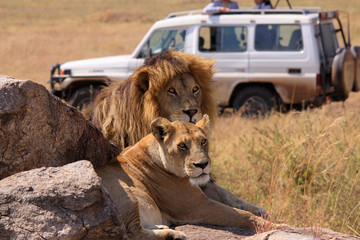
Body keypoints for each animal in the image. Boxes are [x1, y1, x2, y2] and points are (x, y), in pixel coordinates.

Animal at [95, 115, 270, 239]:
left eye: (203, 141)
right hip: (124, 193)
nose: (202, 164)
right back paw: (174, 235)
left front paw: (260, 209)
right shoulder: (197, 205)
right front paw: (271, 225)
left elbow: (230, 195)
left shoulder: (204, 186)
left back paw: (163, 228)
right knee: (133, 233)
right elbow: (241, 215)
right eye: (182, 146)